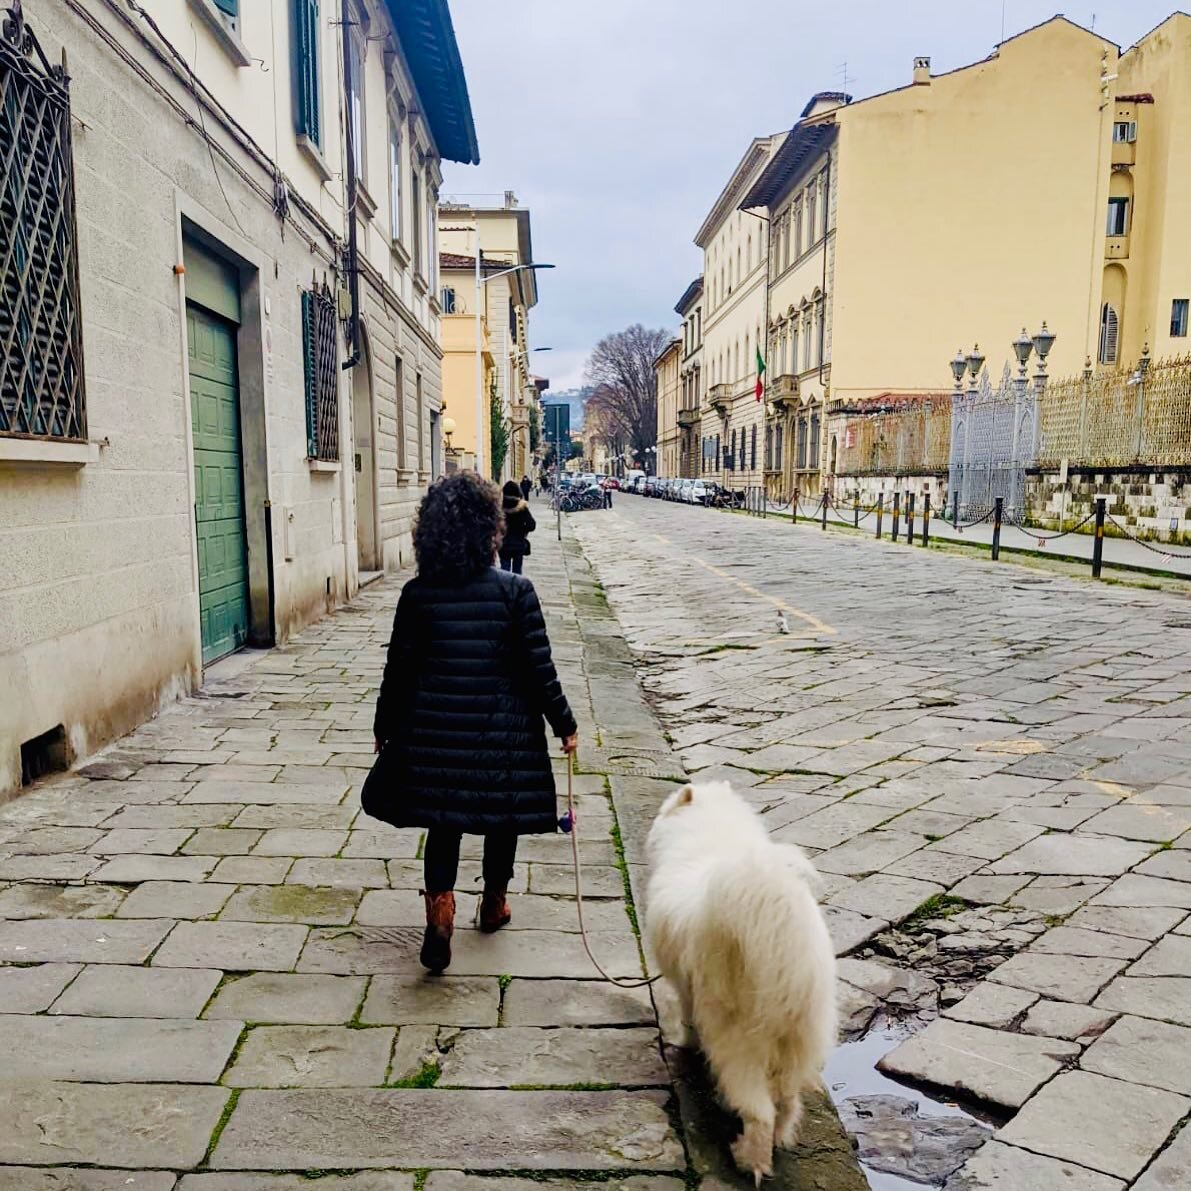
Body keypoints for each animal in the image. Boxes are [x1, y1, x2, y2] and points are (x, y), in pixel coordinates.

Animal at [647, 781, 833, 1181]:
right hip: (797, 1038)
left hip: (738, 1037)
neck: (711, 835)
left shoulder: (687, 989)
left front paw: (685, 1044)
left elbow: (687, 1019)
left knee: (759, 1110)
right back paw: (778, 1141)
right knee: (785, 1101)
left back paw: (750, 1160)